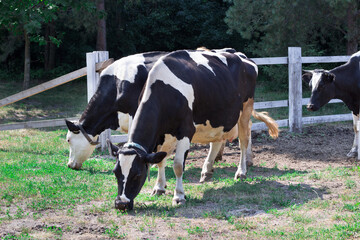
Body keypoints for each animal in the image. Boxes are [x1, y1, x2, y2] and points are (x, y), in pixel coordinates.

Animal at [107, 50, 278, 210]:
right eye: (115, 172)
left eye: (137, 174)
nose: (120, 204)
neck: (165, 90)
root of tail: (242, 56)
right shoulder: (162, 134)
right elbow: (161, 159)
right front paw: (159, 187)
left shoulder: (185, 130)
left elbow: (177, 165)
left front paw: (179, 196)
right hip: (218, 116)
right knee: (216, 140)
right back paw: (207, 170)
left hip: (245, 109)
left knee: (243, 141)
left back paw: (241, 172)